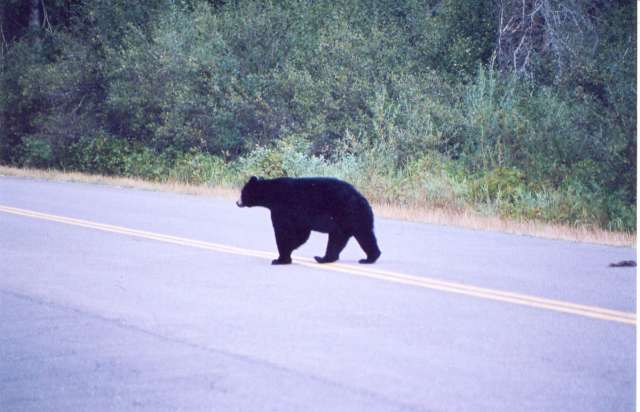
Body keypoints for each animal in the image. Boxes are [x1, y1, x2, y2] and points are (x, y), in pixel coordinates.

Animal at [236, 176, 381, 265]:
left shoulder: (284, 209)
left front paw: (280, 259)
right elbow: (301, 233)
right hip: (350, 220)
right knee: (355, 237)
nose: (237, 202)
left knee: (359, 236)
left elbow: (284, 232)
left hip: (349, 214)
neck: (272, 195)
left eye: (242, 192)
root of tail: (363, 199)